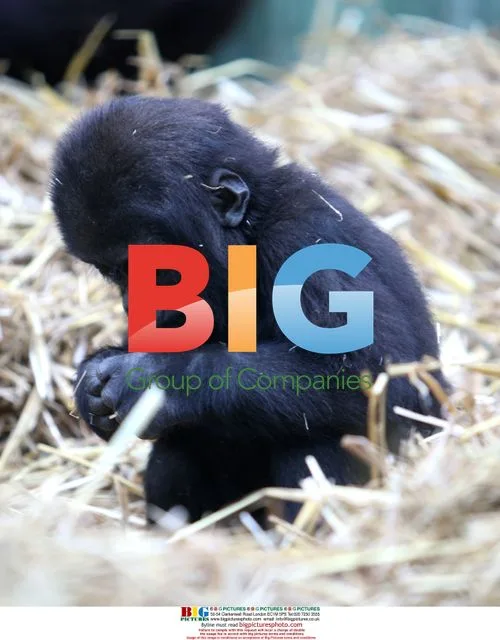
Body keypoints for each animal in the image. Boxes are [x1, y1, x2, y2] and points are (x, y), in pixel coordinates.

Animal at [50, 96, 446, 524]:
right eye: (114, 272)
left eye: (158, 269)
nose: (133, 303)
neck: (254, 227)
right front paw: (93, 379)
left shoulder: (306, 234)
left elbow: (382, 379)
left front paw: (152, 377)